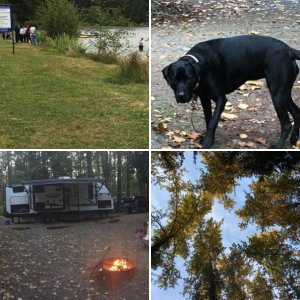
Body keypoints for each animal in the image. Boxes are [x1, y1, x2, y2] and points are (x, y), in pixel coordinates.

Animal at [163, 35, 300, 148]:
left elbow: (213, 122)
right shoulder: (205, 98)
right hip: (283, 93)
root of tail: (289, 50)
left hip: (277, 94)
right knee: (296, 112)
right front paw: (208, 139)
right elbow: (208, 119)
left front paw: (207, 143)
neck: (200, 60)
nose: (181, 96)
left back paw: (278, 146)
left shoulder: (220, 99)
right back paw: (294, 140)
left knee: (287, 124)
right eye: (174, 79)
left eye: (189, 79)